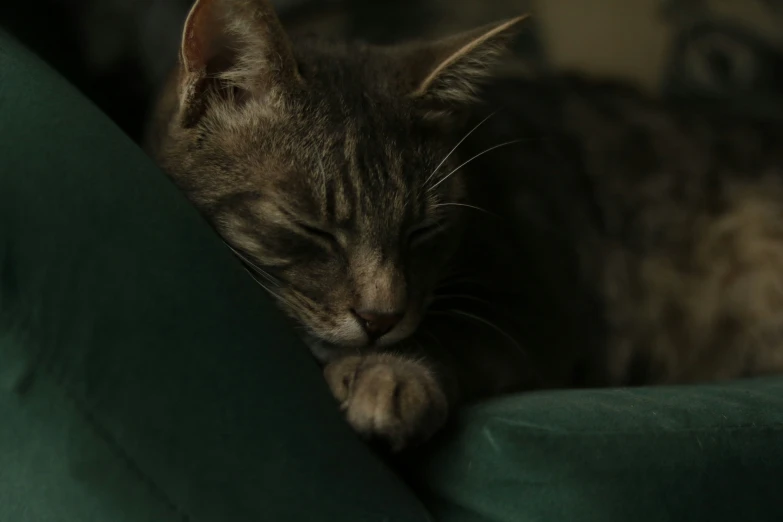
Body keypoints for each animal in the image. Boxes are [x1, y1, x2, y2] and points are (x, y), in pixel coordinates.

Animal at [147, 0, 783, 448]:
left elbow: (453, 335)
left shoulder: (540, 314)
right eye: (312, 228)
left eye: (423, 231)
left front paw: (391, 376)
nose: (381, 319)